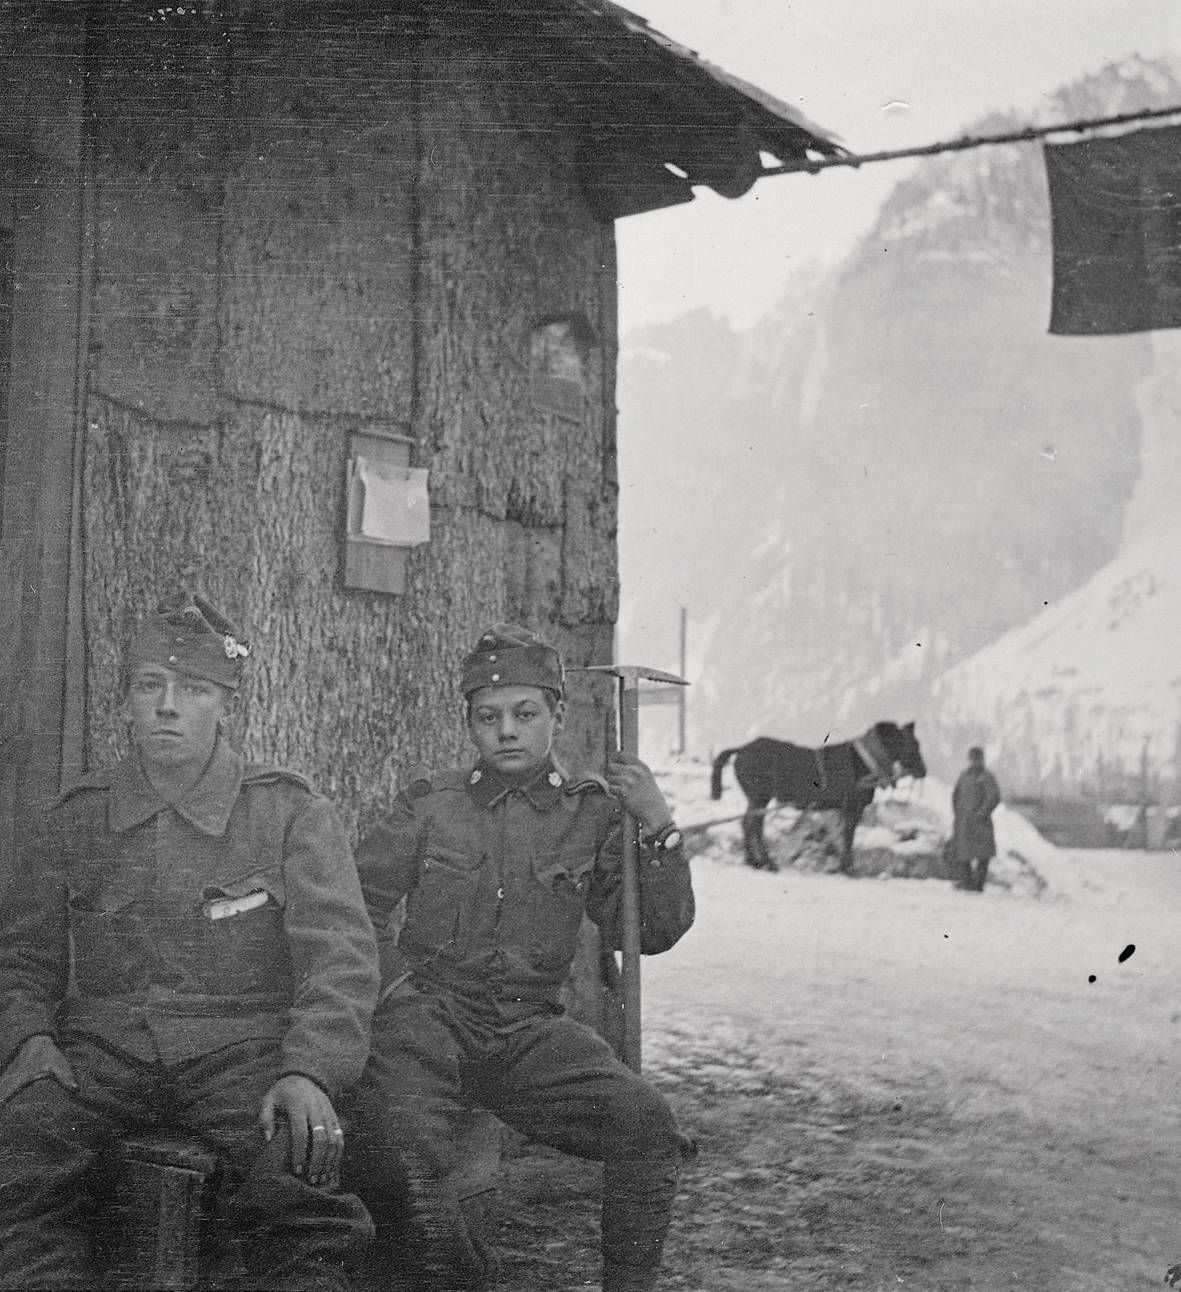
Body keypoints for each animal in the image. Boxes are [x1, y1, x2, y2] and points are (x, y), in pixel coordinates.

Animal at [713, 723, 925, 873]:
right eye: (910, 744)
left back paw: (752, 861)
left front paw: (840, 866)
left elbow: (840, 837)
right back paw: (767, 862)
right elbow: (848, 837)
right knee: (754, 826)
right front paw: (848, 868)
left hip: (757, 799)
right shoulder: (853, 807)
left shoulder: (840, 810)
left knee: (747, 824)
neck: (864, 763)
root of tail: (741, 749)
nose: (923, 771)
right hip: (760, 797)